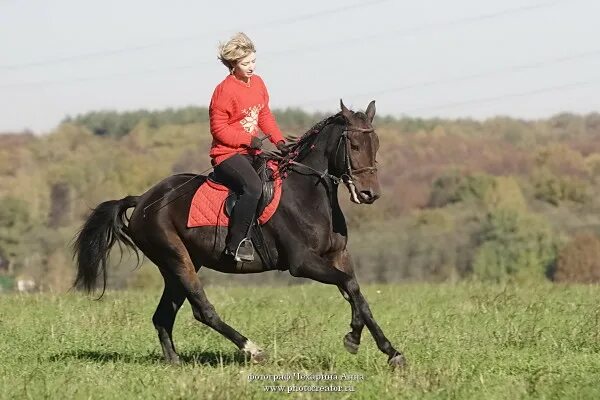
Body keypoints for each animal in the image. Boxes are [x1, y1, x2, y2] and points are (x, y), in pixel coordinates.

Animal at [72, 101, 406, 368]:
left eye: (376, 144)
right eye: (354, 146)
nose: (370, 194)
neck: (309, 194)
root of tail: (142, 199)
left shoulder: (338, 256)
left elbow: (356, 293)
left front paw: (385, 349)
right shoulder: (303, 263)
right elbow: (348, 285)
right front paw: (358, 339)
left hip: (178, 266)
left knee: (163, 316)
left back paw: (175, 362)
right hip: (176, 259)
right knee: (203, 310)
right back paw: (252, 349)